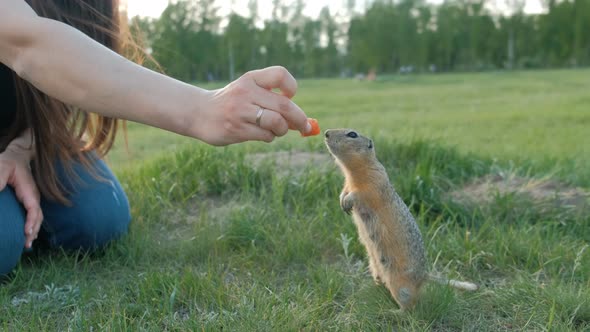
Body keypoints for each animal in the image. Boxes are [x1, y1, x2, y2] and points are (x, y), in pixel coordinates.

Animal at [324, 128, 480, 310]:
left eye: (352, 134)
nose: (326, 133)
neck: (352, 172)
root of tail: (423, 275)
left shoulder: (375, 183)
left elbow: (361, 194)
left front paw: (348, 201)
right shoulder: (347, 183)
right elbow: (345, 191)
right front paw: (342, 200)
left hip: (400, 285)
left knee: (410, 305)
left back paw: (393, 311)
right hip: (375, 267)